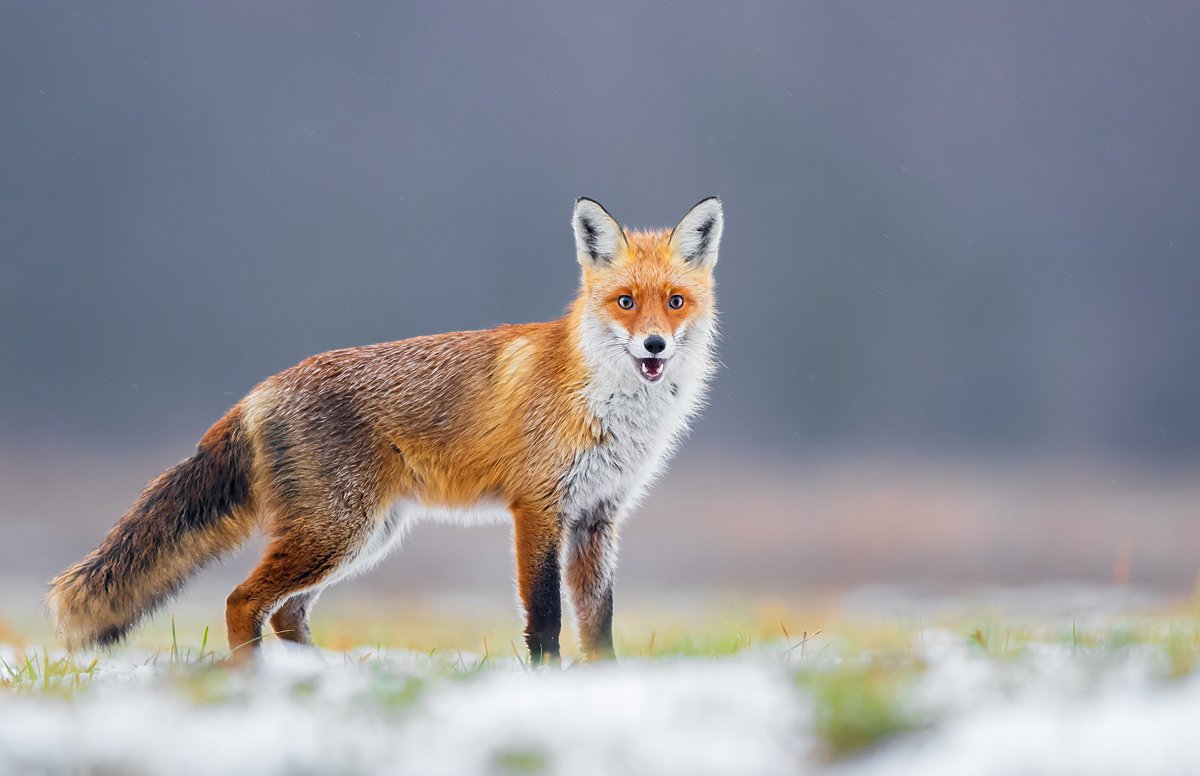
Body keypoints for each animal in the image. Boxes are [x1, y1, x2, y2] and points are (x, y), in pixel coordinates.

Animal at [46, 197, 720, 666]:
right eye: (626, 302)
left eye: (675, 302)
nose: (654, 346)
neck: (610, 409)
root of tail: (260, 390)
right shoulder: (538, 508)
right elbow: (547, 620)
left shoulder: (598, 516)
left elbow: (597, 624)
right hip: (338, 531)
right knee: (243, 601)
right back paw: (254, 682)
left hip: (360, 536)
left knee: (287, 614)